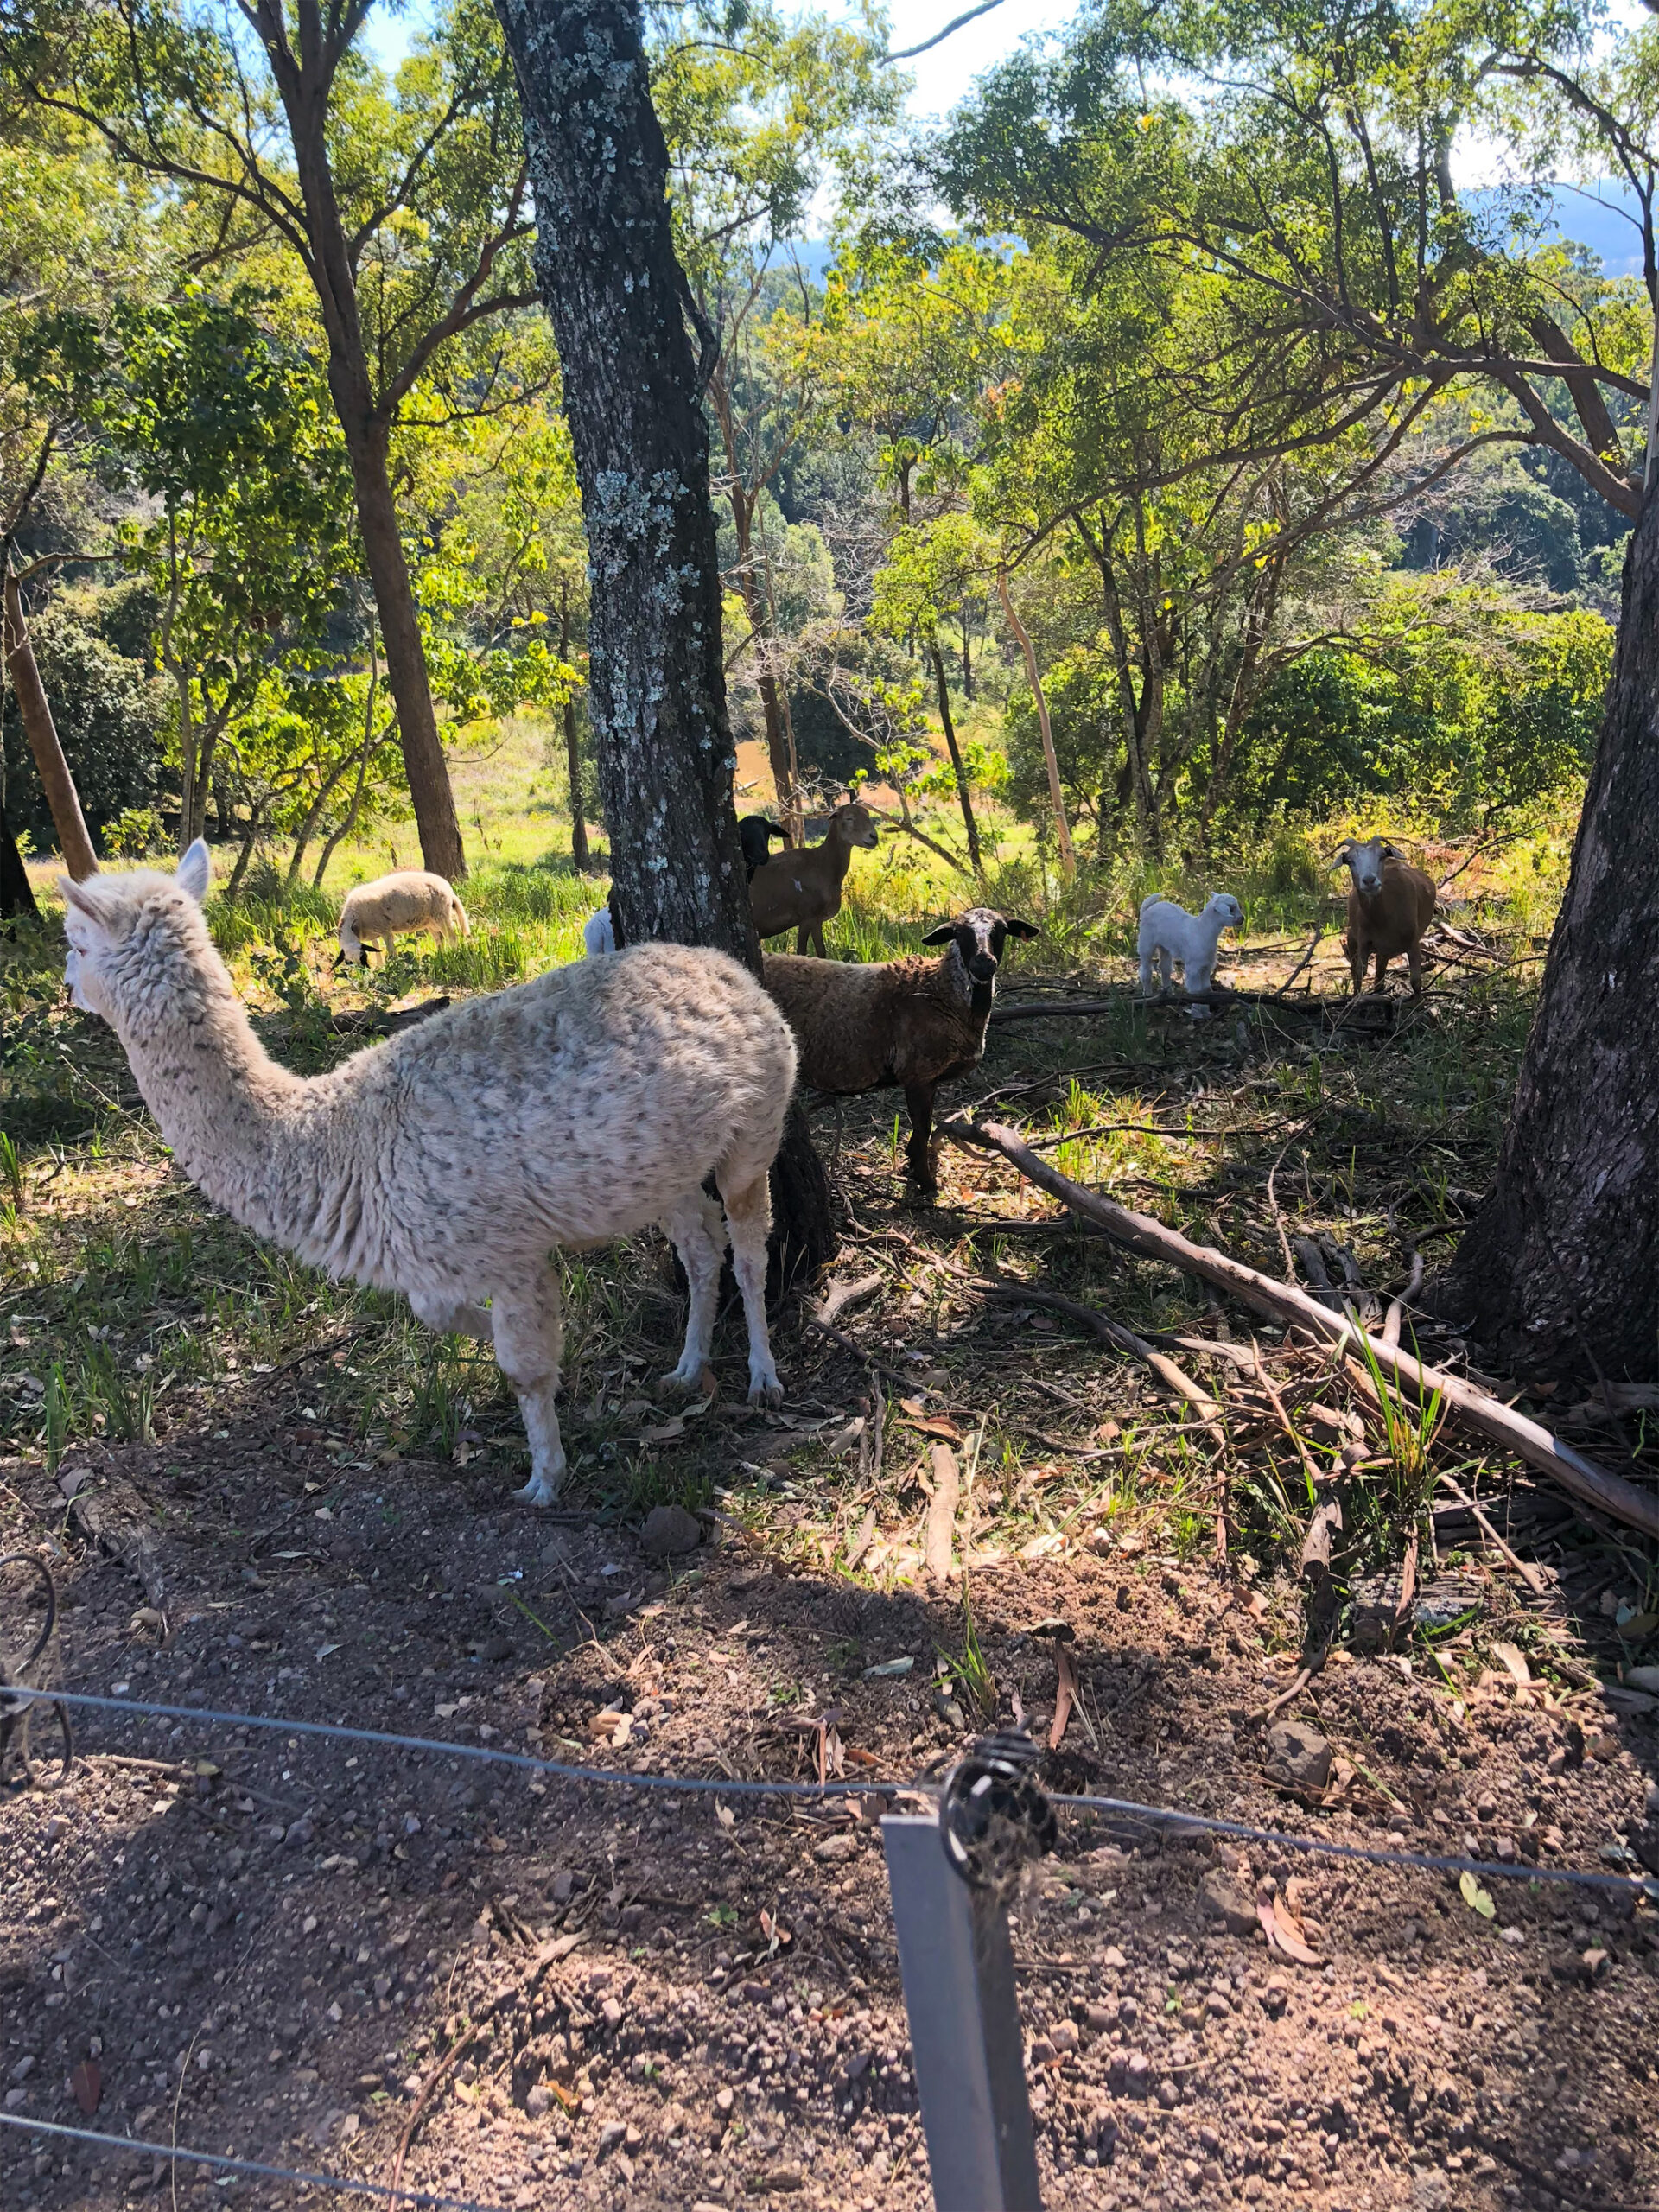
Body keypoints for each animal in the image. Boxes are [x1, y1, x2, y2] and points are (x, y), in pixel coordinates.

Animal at [338, 869, 469, 968]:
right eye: (349, 962)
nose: (364, 971)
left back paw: (454, 955)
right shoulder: (374, 931)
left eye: (362, 956)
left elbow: (390, 951)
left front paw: (394, 966)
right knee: (439, 939)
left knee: (452, 938)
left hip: (441, 915)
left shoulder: (385, 929)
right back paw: (440, 957)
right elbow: (376, 947)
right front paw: (380, 967)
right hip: (430, 921)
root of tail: (449, 890)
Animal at [749, 801, 879, 956]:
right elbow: (801, 952)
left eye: (868, 815)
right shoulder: (807, 917)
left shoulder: (817, 920)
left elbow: (821, 952)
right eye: (849, 818)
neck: (823, 864)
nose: (874, 837)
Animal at [764, 907, 1039, 1194]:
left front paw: (913, 1164)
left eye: (1001, 930)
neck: (941, 991)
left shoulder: (928, 1078)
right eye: (959, 932)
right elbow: (922, 1128)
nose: (983, 963)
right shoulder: (917, 1074)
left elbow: (922, 1128)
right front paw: (926, 1182)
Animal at [1334, 837, 1436, 993]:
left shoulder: (1413, 943)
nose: (1369, 881)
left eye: (1382, 855)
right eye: (1349, 860)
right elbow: (1359, 974)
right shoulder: (1364, 942)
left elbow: (1416, 982)